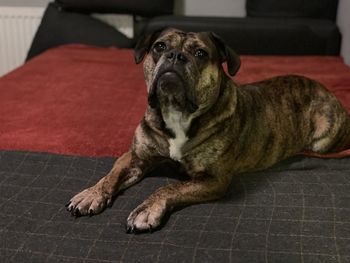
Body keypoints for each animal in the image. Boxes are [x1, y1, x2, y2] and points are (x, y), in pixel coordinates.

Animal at [65, 28, 350, 233]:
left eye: (201, 53)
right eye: (160, 46)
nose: (175, 56)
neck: (177, 111)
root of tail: (324, 89)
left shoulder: (213, 179)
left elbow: (170, 188)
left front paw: (147, 209)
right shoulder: (136, 157)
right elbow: (111, 174)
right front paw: (91, 194)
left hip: (324, 138)